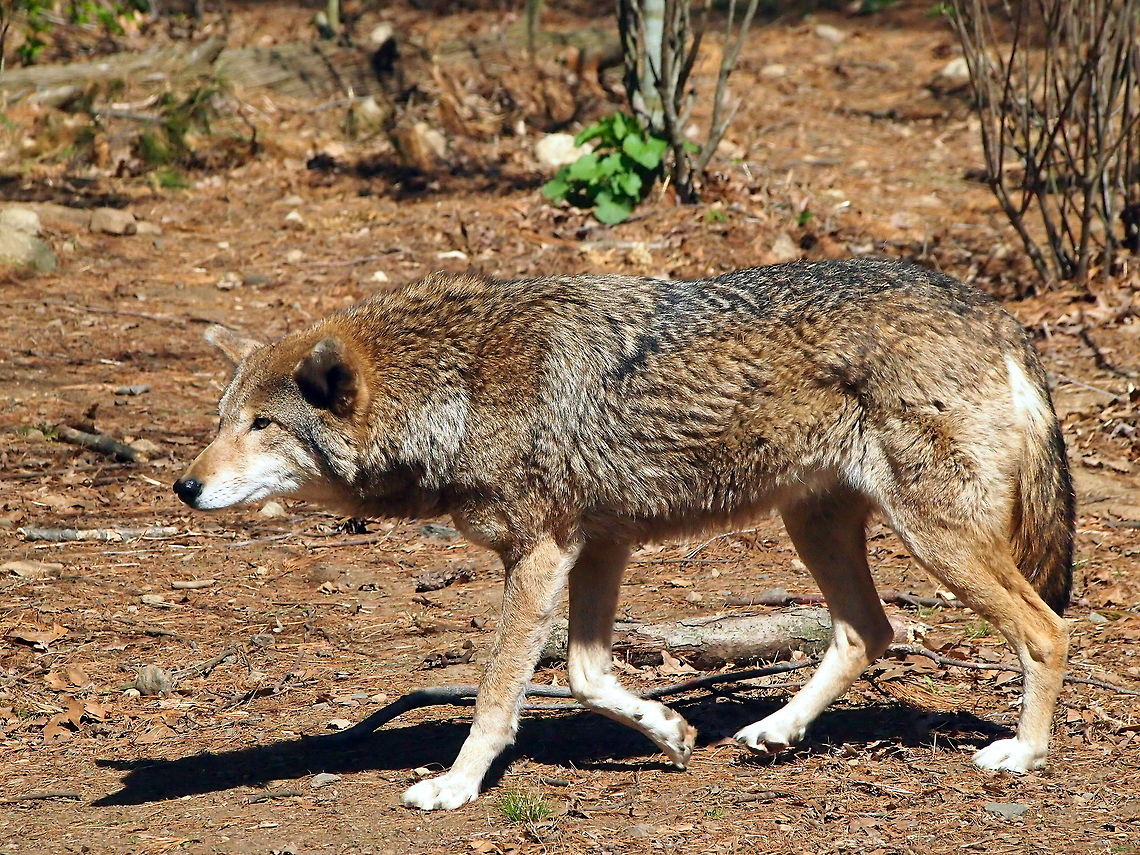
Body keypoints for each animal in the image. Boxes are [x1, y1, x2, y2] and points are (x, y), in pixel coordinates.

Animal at [175, 258, 1073, 811]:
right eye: (219, 421)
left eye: (262, 426)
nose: (186, 485)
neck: (457, 388)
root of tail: (998, 315)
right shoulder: (600, 548)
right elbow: (583, 676)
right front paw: (670, 732)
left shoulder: (540, 555)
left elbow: (497, 692)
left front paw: (455, 785)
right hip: (815, 527)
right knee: (868, 629)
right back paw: (775, 730)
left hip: (937, 541)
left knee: (1047, 629)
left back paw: (1023, 754)